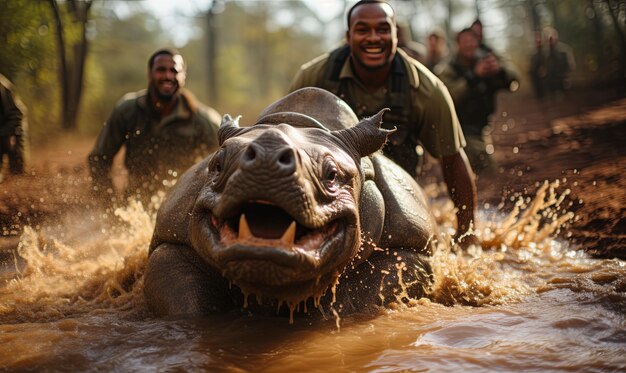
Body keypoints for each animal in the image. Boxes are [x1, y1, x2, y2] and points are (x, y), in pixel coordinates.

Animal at [143, 86, 434, 316]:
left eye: (332, 175)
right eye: (217, 166)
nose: (267, 156)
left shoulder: (409, 249)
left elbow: (356, 298)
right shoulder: (172, 238)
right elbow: (189, 303)